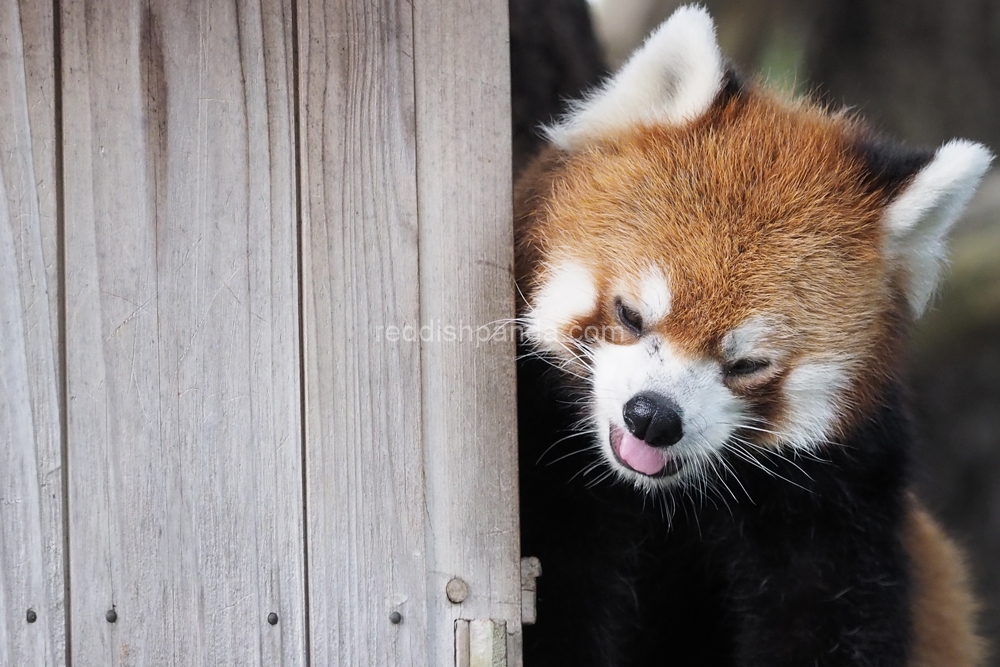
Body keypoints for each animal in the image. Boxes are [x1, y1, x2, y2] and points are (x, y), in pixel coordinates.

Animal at [516, 5, 992, 667]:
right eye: (630, 314)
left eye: (747, 364)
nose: (653, 417)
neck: (661, 505)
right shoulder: (557, 495)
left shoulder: (839, 505)